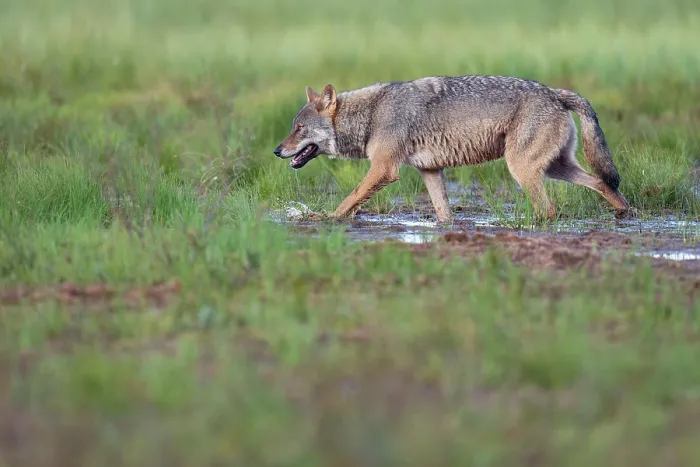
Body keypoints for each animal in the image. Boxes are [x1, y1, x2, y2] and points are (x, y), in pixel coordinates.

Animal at [273, 75, 632, 222]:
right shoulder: (430, 170)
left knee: (549, 210)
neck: (372, 114)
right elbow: (444, 214)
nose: (277, 150)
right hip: (558, 167)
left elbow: (350, 199)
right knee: (603, 182)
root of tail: (556, 93)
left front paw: (324, 218)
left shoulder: (384, 170)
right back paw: (624, 213)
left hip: (522, 169)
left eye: (299, 129)